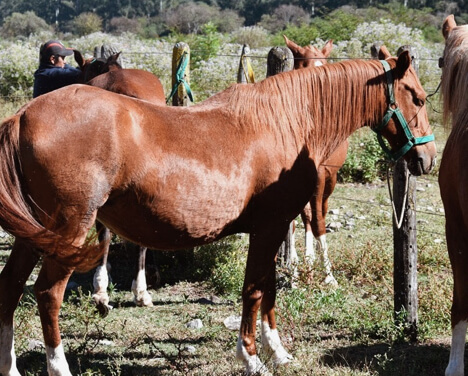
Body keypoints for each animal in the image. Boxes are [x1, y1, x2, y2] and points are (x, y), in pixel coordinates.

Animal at [0, 47, 436, 376]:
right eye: (417, 97)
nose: (427, 158)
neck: (286, 121)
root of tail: (22, 117)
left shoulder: (271, 228)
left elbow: (269, 288)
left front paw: (277, 352)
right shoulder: (270, 228)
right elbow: (255, 290)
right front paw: (252, 358)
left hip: (37, 234)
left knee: (10, 287)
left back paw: (11, 366)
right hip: (68, 231)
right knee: (47, 294)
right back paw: (59, 365)